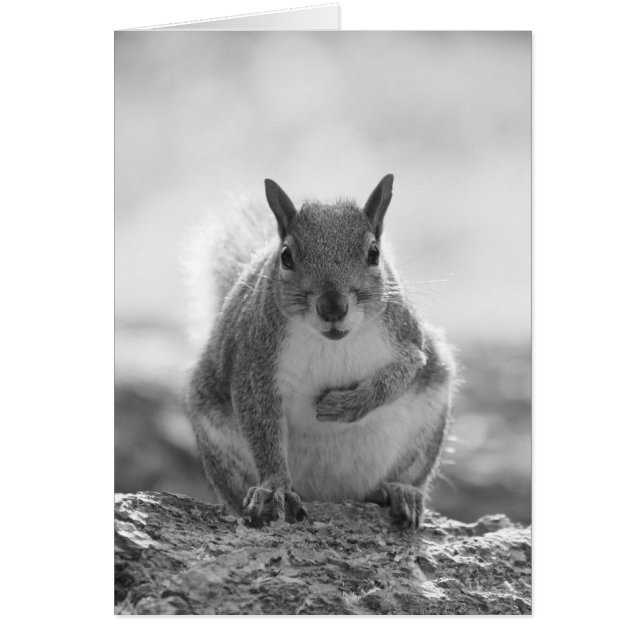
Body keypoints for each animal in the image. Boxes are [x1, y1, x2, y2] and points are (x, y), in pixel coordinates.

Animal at [186, 175, 456, 529]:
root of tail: (332, 496)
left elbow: (401, 374)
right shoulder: (254, 363)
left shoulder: (408, 339)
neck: (333, 343)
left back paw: (398, 491)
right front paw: (273, 488)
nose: (332, 307)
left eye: (374, 253)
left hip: (426, 428)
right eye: (286, 256)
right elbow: (262, 428)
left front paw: (344, 406)